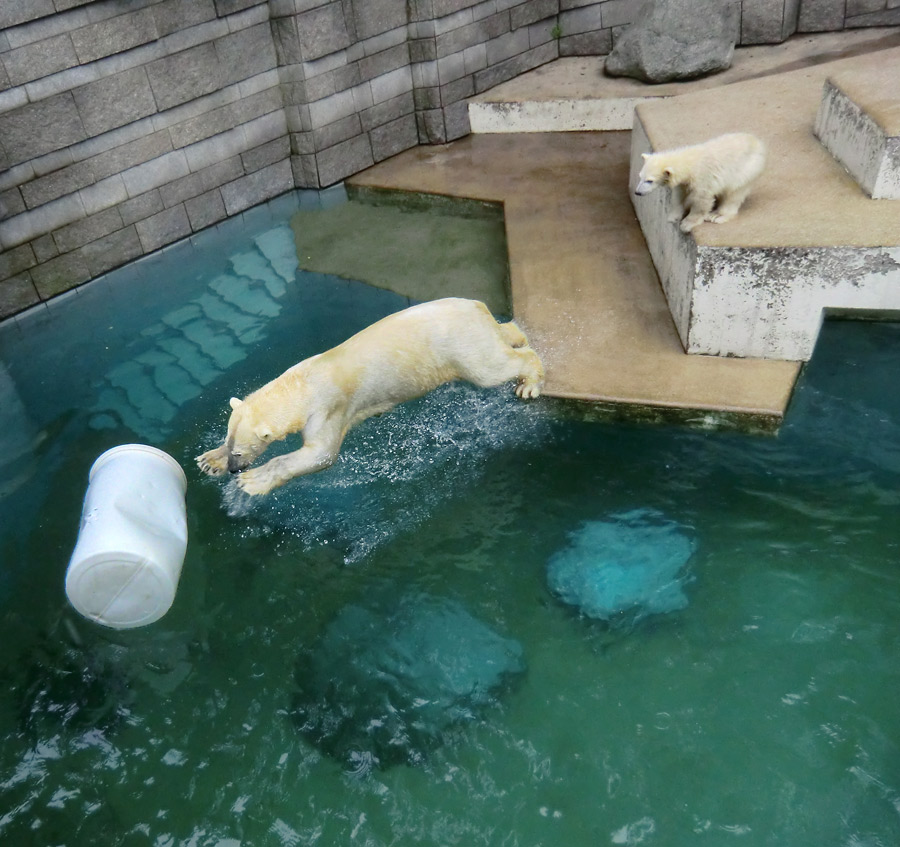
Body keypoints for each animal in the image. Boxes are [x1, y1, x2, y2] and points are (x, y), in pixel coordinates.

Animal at [198, 298, 544, 496]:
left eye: (241, 453)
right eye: (229, 443)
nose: (234, 469)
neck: (303, 382)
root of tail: (475, 305)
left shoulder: (327, 409)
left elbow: (320, 454)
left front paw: (252, 483)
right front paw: (209, 461)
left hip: (460, 345)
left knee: (492, 368)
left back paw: (528, 382)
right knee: (503, 334)